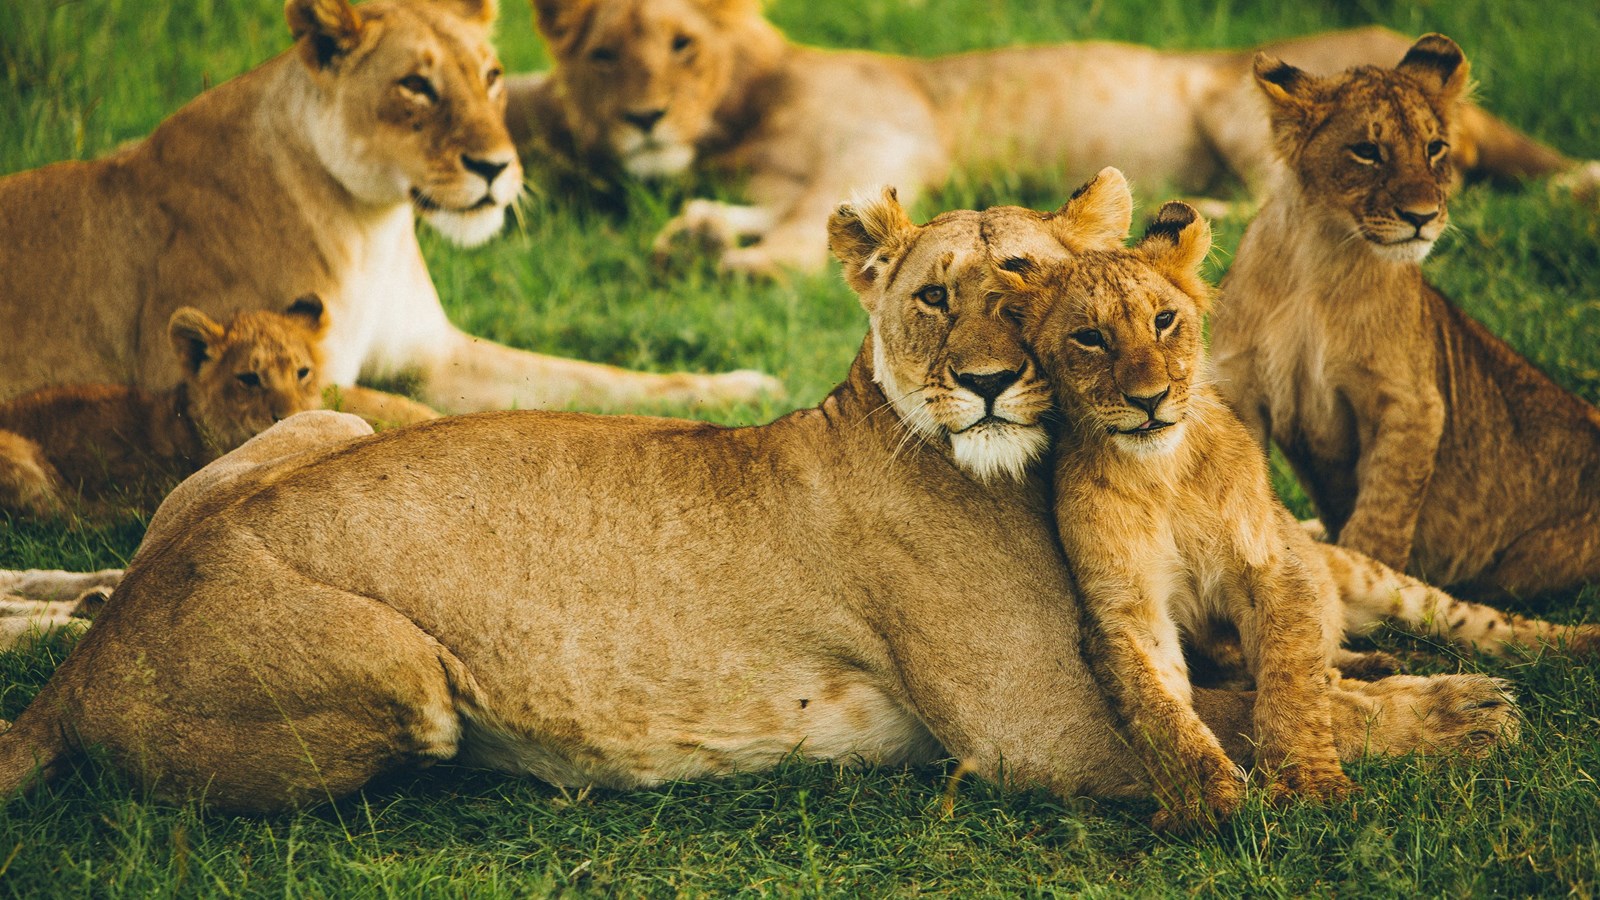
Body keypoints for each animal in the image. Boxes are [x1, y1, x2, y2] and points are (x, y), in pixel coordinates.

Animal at [0, 0, 780, 414]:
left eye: (491, 76)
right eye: (415, 86)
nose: (497, 167)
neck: (369, 227)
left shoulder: (436, 355)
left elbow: (599, 378)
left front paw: (742, 387)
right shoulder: (219, 376)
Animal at [0, 181, 1515, 815]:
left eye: (1027, 283)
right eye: (934, 299)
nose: (983, 383)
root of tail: (88, 667)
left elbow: (1276, 671)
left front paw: (1391, 668)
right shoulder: (1040, 735)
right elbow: (1236, 718)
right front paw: (1461, 711)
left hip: (313, 417)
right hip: (405, 675)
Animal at [505, 0, 1595, 276]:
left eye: (680, 45)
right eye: (603, 55)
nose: (642, 117)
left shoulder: (885, 137)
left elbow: (815, 218)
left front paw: (742, 260)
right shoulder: (778, 174)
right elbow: (769, 208)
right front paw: (697, 229)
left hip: (1231, 99)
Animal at [1209, 34, 1600, 600]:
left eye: (1435, 148)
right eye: (1367, 151)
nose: (1423, 217)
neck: (1317, 259)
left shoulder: (1412, 402)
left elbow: (1383, 515)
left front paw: (1370, 587)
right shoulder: (1239, 387)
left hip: (1519, 571)